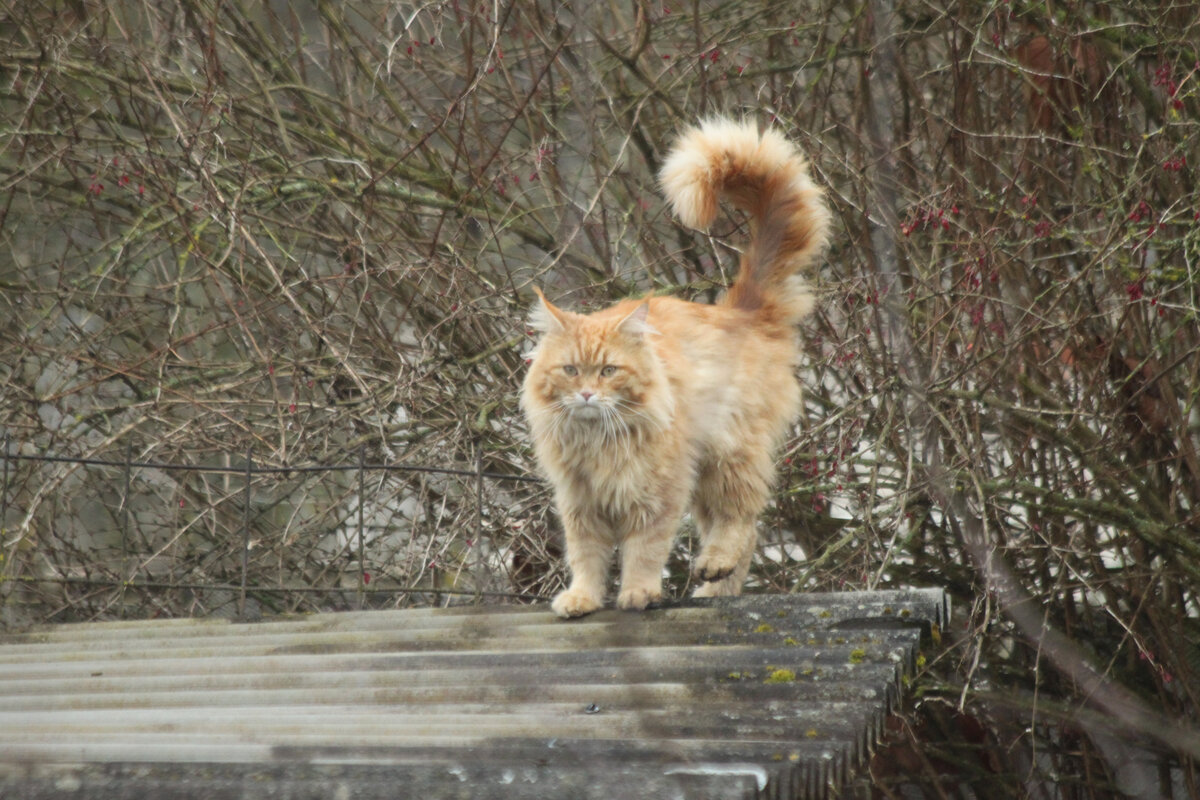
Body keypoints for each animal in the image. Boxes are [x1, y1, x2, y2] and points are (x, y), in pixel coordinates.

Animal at [520, 118, 830, 618]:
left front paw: (638, 593)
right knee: (744, 538)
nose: (586, 395)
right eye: (570, 370)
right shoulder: (581, 503)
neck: (598, 441)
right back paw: (714, 590)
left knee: (741, 521)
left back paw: (713, 565)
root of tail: (740, 311)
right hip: (708, 475)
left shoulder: (657, 495)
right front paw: (583, 599)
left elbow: (644, 551)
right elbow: (586, 556)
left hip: (728, 455)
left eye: (608, 371)